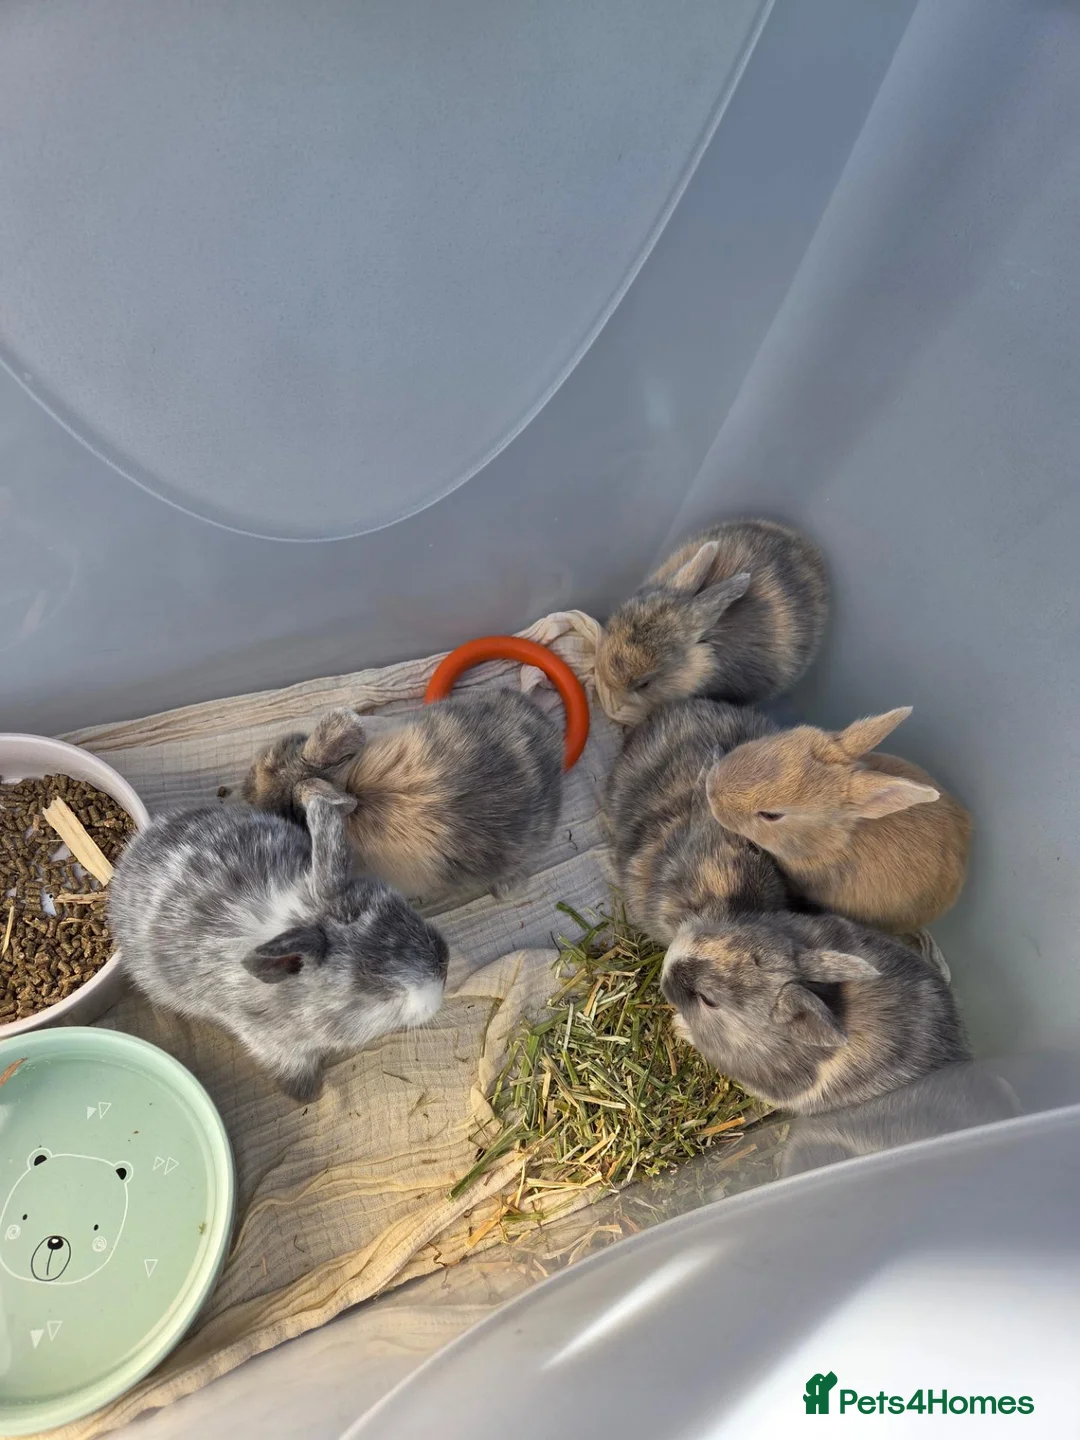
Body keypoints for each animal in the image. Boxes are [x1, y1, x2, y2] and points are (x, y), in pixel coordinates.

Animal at [108, 781, 449, 1103]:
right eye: (377, 987)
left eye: (398, 905)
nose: (443, 965)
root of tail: (136, 847)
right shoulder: (266, 1039)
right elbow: (293, 1068)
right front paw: (309, 1094)